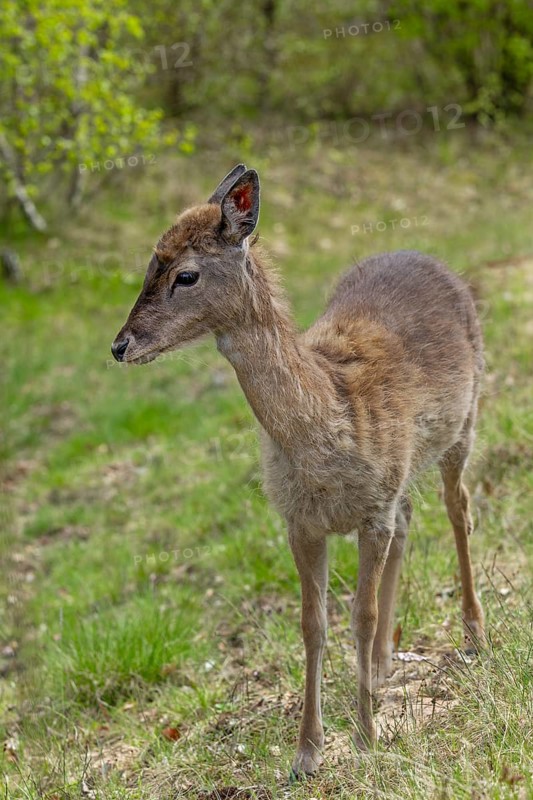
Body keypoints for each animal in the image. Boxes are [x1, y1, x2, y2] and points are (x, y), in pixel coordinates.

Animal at [111, 164, 485, 777]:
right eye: (149, 265)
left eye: (185, 274)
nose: (121, 345)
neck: (325, 434)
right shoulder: (299, 520)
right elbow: (313, 624)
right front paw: (307, 751)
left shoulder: (371, 512)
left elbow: (359, 614)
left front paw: (366, 737)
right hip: (404, 472)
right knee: (412, 515)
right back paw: (382, 665)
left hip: (467, 418)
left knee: (459, 509)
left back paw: (474, 634)